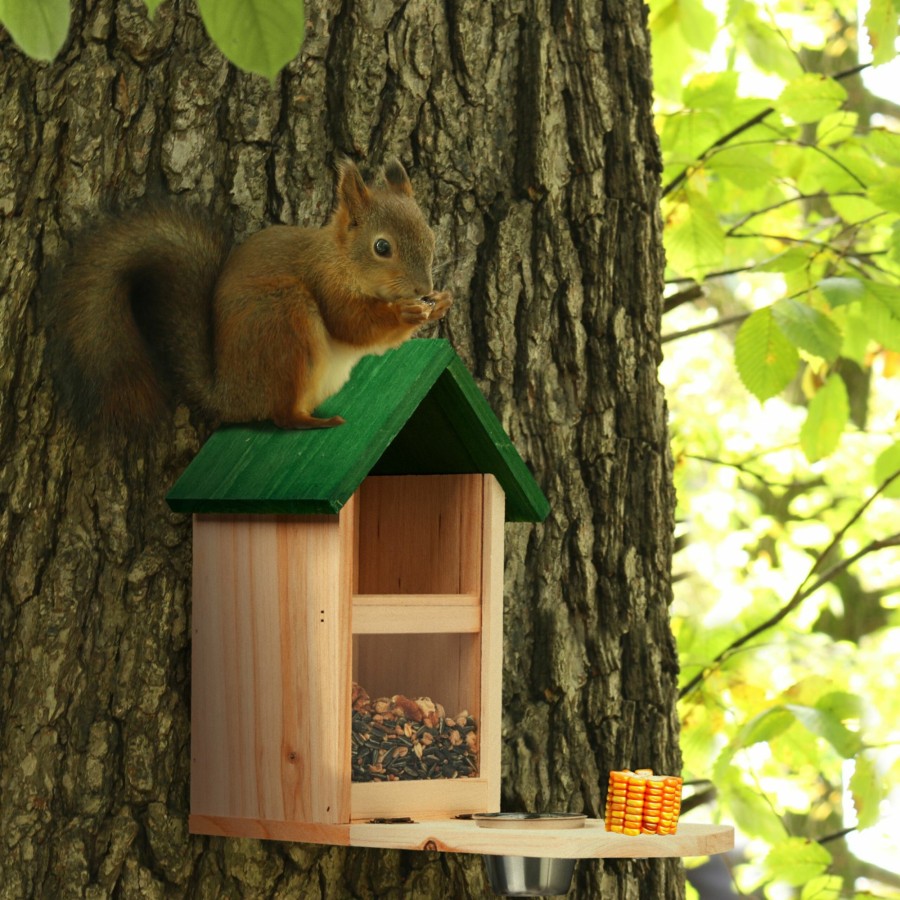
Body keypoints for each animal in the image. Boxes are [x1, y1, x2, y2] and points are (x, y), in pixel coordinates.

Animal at [51, 158, 450, 432]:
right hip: (283, 320)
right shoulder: (325, 282)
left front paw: (440, 303)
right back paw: (313, 423)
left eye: (431, 236)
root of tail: (230, 395)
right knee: (282, 416)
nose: (423, 289)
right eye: (382, 247)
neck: (340, 258)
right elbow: (353, 325)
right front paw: (406, 313)